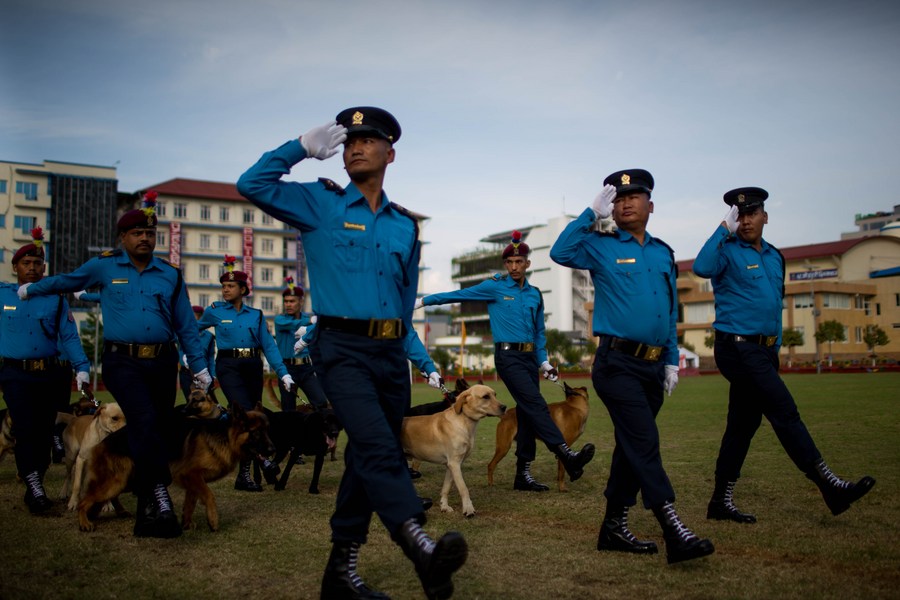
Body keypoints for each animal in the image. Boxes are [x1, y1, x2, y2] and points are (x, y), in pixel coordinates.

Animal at [77, 400, 274, 532]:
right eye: (257, 433)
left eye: (267, 431)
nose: (273, 450)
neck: (225, 436)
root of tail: (102, 442)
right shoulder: (190, 474)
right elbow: (209, 495)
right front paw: (213, 520)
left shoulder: (193, 481)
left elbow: (190, 503)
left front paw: (186, 523)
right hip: (117, 482)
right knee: (84, 500)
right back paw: (84, 522)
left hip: (127, 481)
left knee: (106, 498)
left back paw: (119, 512)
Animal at [400, 384, 506, 516]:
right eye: (486, 396)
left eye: (495, 395)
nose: (504, 407)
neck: (464, 421)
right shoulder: (454, 463)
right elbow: (463, 488)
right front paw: (468, 509)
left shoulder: (451, 464)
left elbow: (446, 488)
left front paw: (444, 506)